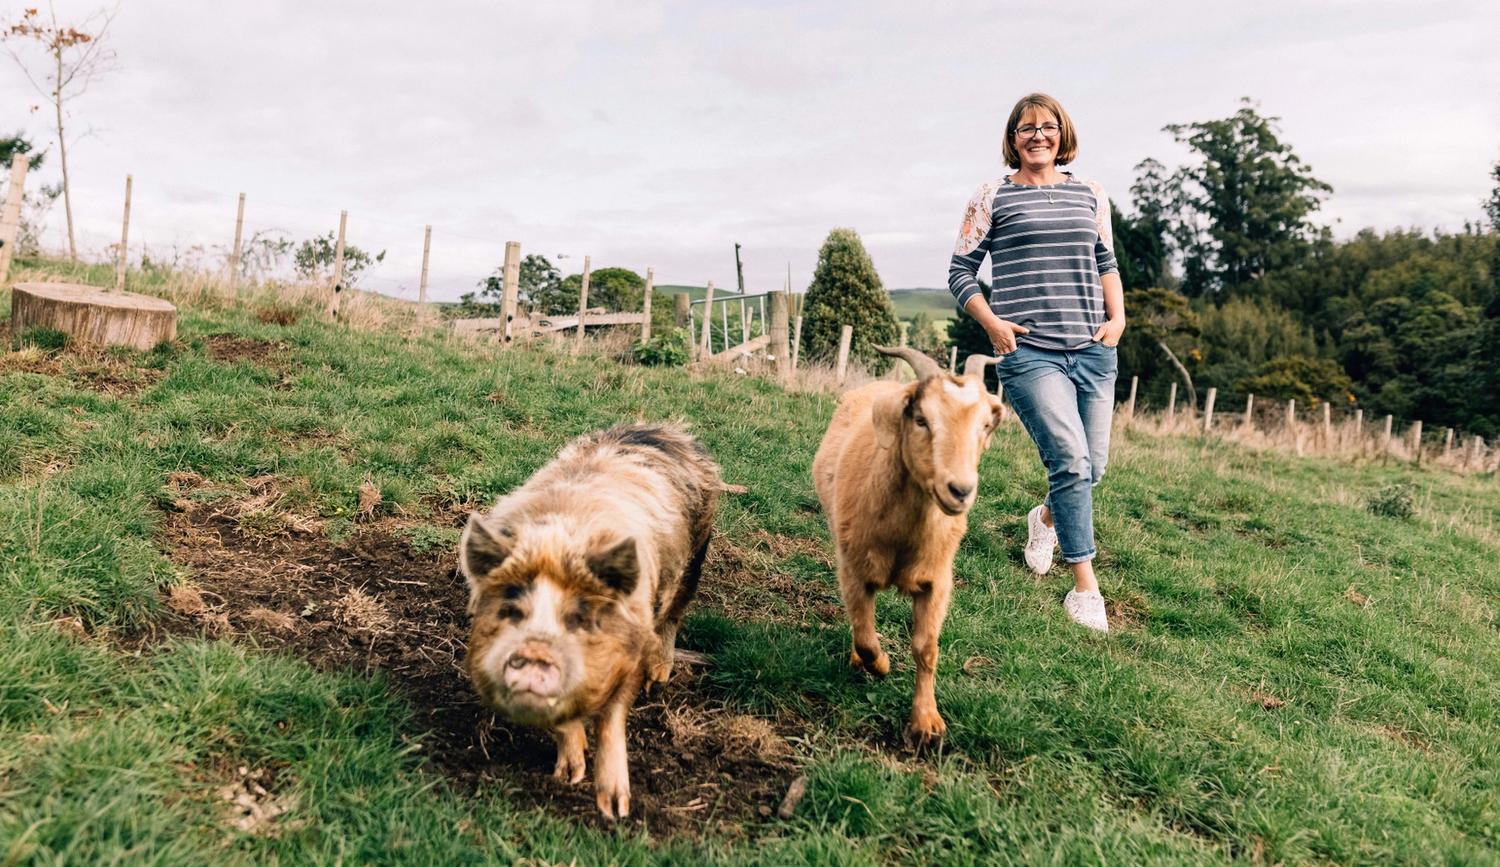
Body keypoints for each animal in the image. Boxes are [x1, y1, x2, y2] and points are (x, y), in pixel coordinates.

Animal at [816, 345, 1002, 744]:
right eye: (920, 419)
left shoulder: (938, 581)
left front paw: (927, 722)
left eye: (984, 425)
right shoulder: (853, 568)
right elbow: (865, 636)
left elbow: (926, 648)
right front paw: (881, 663)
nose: (960, 490)